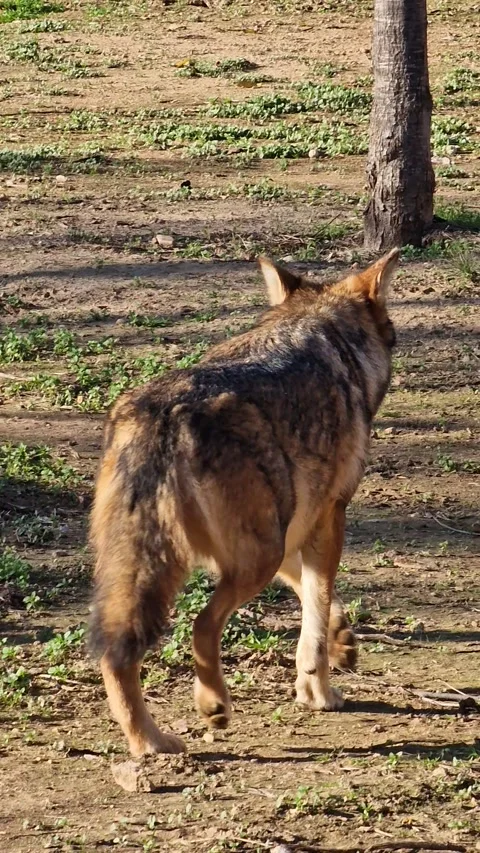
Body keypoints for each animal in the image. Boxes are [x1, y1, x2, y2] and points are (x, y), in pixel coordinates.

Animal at [89, 248, 399, 756]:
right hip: (252, 560)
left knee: (116, 655)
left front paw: (340, 640)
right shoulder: (329, 517)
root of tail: (163, 414)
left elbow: (310, 596)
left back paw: (149, 742)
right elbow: (315, 612)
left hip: (167, 565)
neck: (327, 340)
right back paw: (213, 705)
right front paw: (319, 691)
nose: (396, 338)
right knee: (201, 626)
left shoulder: (291, 526)